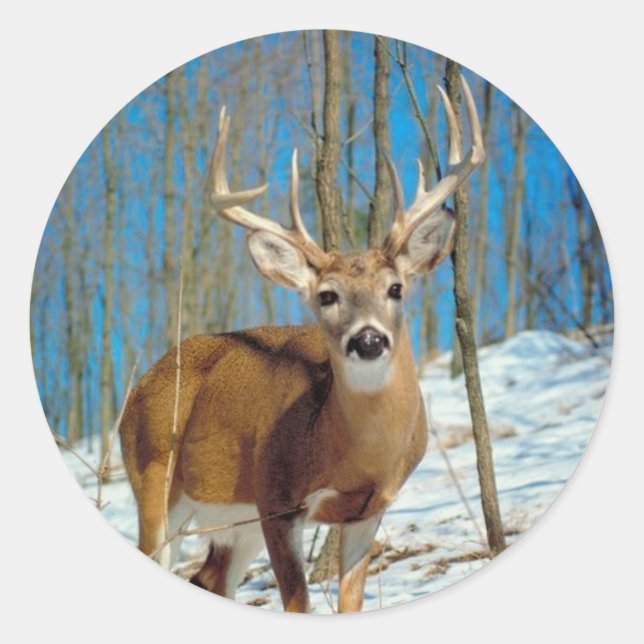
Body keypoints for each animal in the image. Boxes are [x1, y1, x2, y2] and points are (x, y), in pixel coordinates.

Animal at [119, 74, 484, 613]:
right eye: (327, 295)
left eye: (396, 287)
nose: (369, 339)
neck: (350, 454)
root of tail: (138, 389)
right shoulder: (277, 501)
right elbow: (299, 604)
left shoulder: (368, 510)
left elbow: (350, 602)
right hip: (154, 481)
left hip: (234, 521)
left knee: (210, 579)